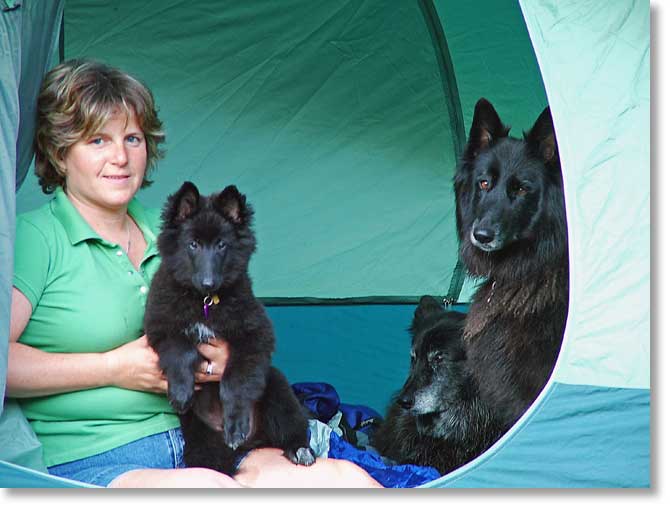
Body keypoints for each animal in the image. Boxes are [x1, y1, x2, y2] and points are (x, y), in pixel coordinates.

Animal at [145, 182, 318, 474]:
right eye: (193, 244)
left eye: (221, 245)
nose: (208, 282)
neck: (205, 302)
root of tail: (251, 443)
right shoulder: (160, 325)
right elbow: (182, 351)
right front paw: (181, 393)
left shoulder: (254, 335)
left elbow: (234, 380)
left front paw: (235, 425)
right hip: (202, 440)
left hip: (278, 389)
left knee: (292, 426)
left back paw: (299, 449)